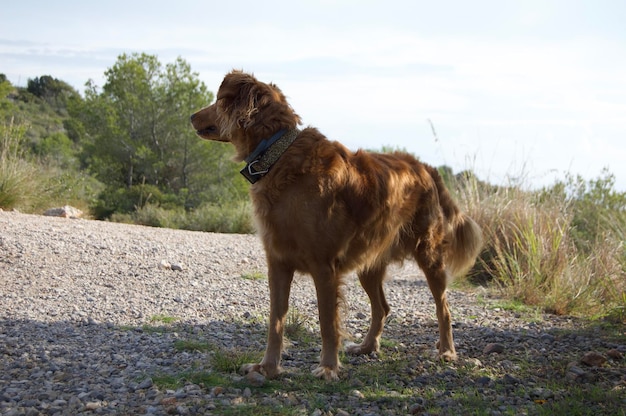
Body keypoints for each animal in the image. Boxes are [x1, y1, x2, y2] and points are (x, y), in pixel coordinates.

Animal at [190, 70, 482, 380]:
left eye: (218, 100)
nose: (192, 116)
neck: (277, 156)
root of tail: (423, 166)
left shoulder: (324, 267)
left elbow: (327, 323)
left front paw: (328, 367)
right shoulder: (277, 263)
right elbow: (275, 321)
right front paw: (267, 367)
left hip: (429, 256)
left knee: (444, 309)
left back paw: (447, 351)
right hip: (370, 262)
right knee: (382, 307)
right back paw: (367, 347)